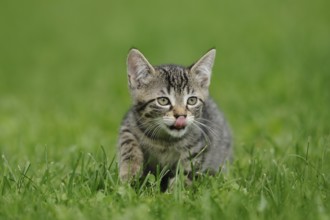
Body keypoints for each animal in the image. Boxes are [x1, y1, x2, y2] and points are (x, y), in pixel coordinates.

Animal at [117, 48, 231, 189]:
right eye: (163, 100)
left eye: (192, 100)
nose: (181, 115)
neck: (165, 141)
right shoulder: (129, 124)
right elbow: (128, 143)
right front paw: (129, 171)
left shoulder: (198, 146)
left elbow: (187, 171)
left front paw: (175, 191)